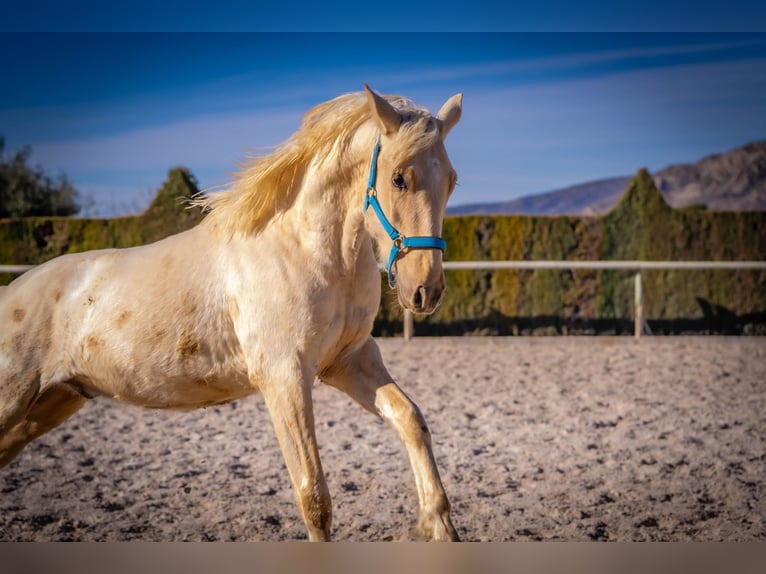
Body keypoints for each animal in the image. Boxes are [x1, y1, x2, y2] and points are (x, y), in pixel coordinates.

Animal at [1, 84, 462, 540]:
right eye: (398, 178)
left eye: (452, 180)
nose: (426, 290)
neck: (306, 250)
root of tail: (13, 292)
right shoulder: (284, 376)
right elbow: (314, 498)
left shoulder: (349, 361)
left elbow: (411, 420)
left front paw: (439, 526)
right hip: (15, 403)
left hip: (51, 404)